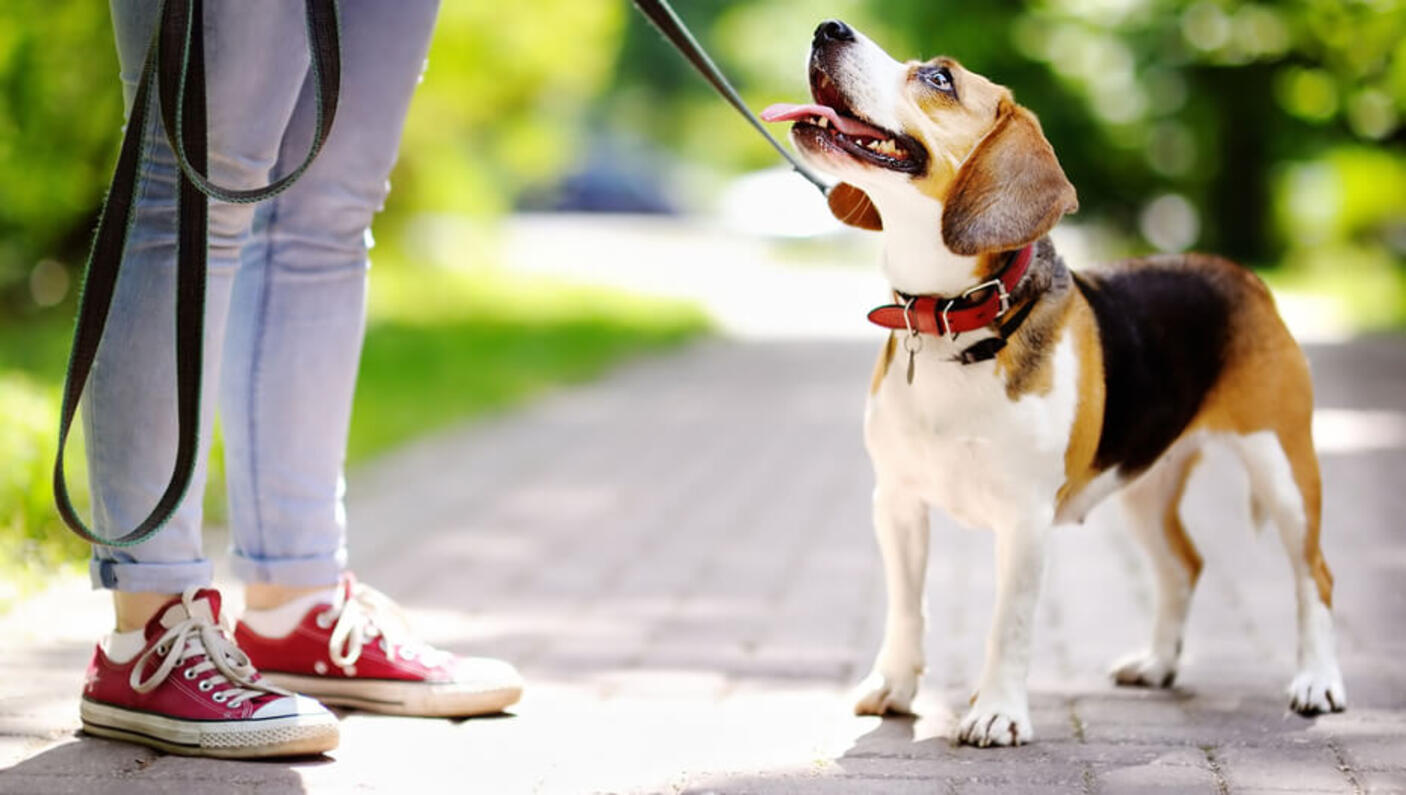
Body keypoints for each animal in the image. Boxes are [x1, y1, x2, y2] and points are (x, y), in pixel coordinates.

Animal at [764, 20, 1344, 748]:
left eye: (939, 78)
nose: (828, 28)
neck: (953, 320)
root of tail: (1240, 274)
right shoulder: (896, 501)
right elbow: (906, 607)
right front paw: (894, 686)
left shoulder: (1025, 517)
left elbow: (1007, 622)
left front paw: (996, 711)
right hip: (1145, 484)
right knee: (1183, 566)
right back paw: (1158, 663)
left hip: (1284, 469)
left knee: (1315, 575)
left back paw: (1317, 682)